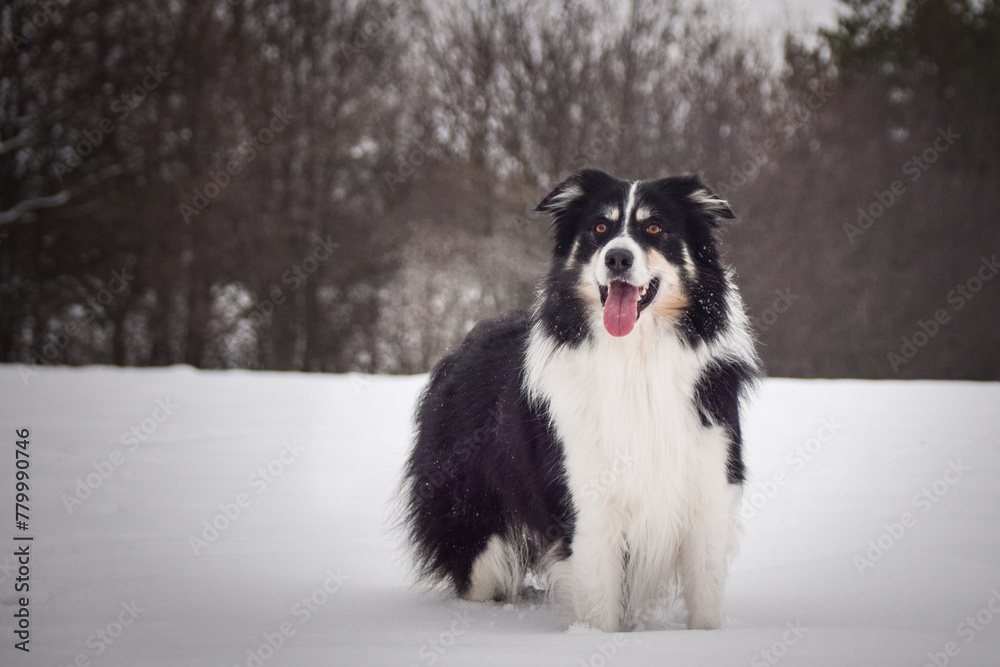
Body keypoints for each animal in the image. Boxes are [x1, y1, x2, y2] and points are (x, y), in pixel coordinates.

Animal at [398, 168, 756, 632]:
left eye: (654, 228)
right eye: (600, 229)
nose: (617, 258)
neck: (634, 360)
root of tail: (461, 349)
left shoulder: (709, 489)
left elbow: (705, 604)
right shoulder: (586, 503)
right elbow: (599, 605)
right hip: (473, 524)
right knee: (478, 574)